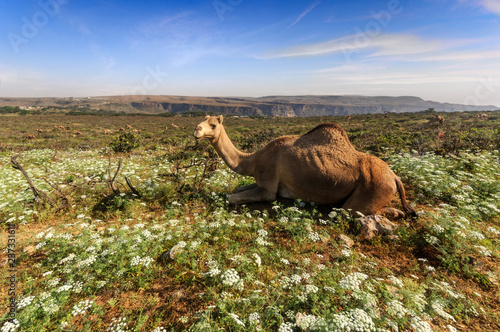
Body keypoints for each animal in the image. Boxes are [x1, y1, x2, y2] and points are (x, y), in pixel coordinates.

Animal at [193, 115, 416, 218]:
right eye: (202, 120)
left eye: (213, 125)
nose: (196, 130)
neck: (253, 159)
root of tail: (395, 177)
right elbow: (238, 189)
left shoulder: (268, 188)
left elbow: (231, 197)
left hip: (372, 190)